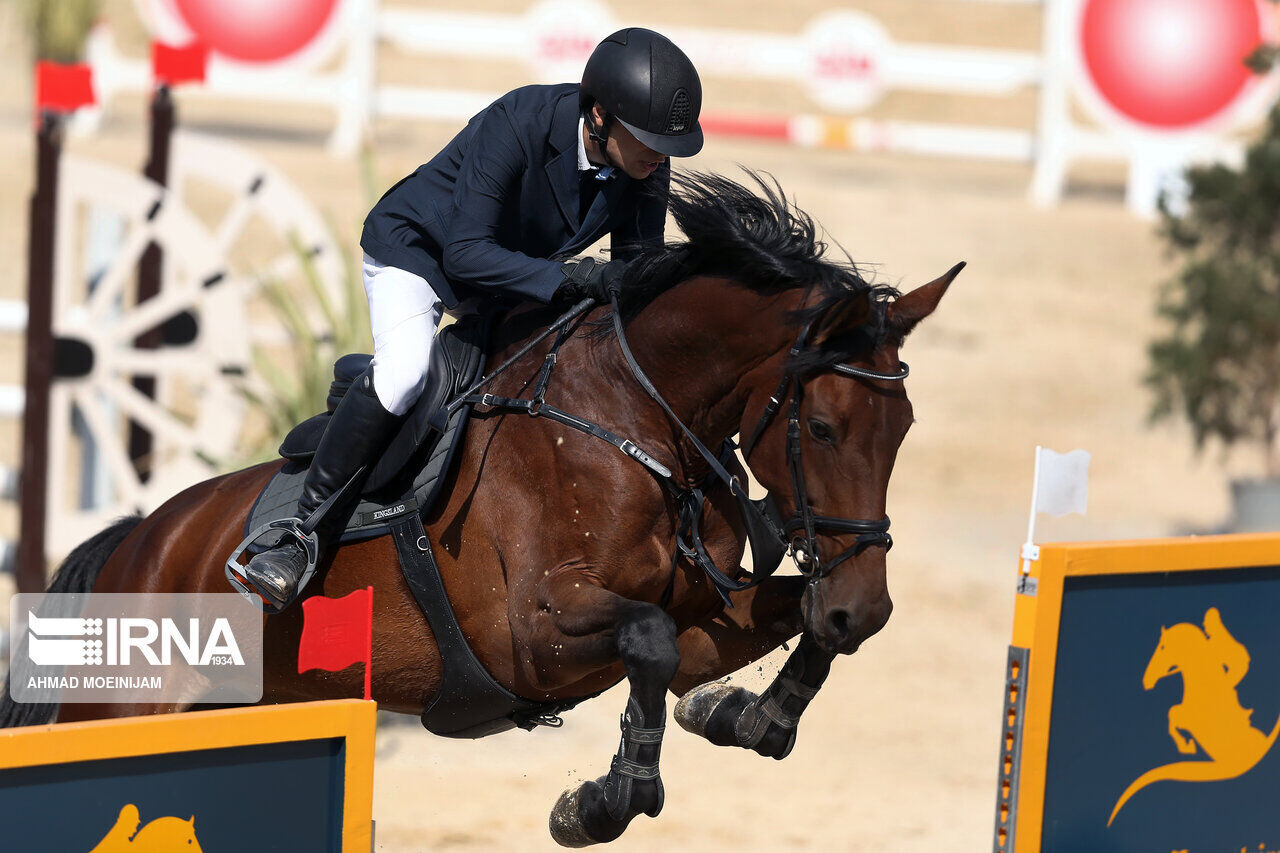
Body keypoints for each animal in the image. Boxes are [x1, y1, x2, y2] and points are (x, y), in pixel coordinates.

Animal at [2, 167, 962, 845]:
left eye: (905, 428)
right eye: (825, 427)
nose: (864, 605)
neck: (635, 416)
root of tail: (140, 541)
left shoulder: (703, 620)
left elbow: (752, 635)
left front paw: (746, 712)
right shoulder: (534, 632)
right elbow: (648, 642)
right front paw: (603, 801)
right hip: (120, 712)